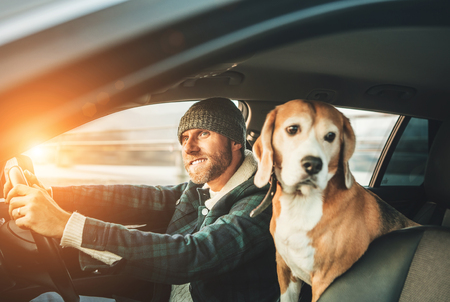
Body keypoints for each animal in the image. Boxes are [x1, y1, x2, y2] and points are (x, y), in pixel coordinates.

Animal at [250, 99, 418, 302]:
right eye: (292, 129)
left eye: (330, 136)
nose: (313, 164)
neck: (300, 202)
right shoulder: (284, 268)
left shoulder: (324, 280)